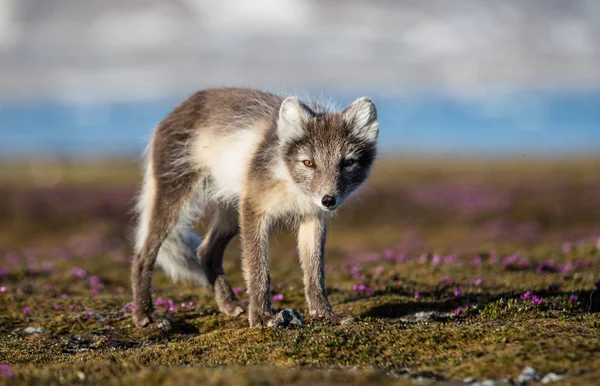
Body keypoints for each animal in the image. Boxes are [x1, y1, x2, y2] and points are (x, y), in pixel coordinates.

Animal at [131, 88, 378, 328]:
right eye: (309, 163)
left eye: (347, 163)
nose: (328, 200)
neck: (290, 182)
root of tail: (175, 111)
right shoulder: (253, 209)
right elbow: (259, 270)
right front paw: (261, 316)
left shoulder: (312, 217)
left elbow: (315, 273)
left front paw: (325, 314)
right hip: (175, 196)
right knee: (142, 255)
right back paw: (146, 314)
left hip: (232, 211)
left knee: (206, 251)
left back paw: (229, 304)